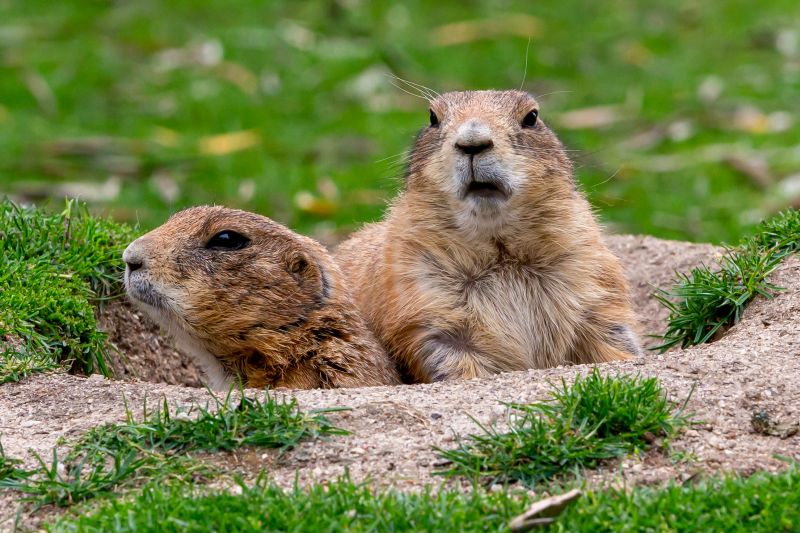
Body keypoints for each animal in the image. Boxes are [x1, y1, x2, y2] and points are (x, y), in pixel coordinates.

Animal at [336, 90, 642, 382]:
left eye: (532, 117)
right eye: (433, 118)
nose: (473, 142)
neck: (500, 249)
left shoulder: (592, 277)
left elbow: (610, 336)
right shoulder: (420, 296)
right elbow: (448, 357)